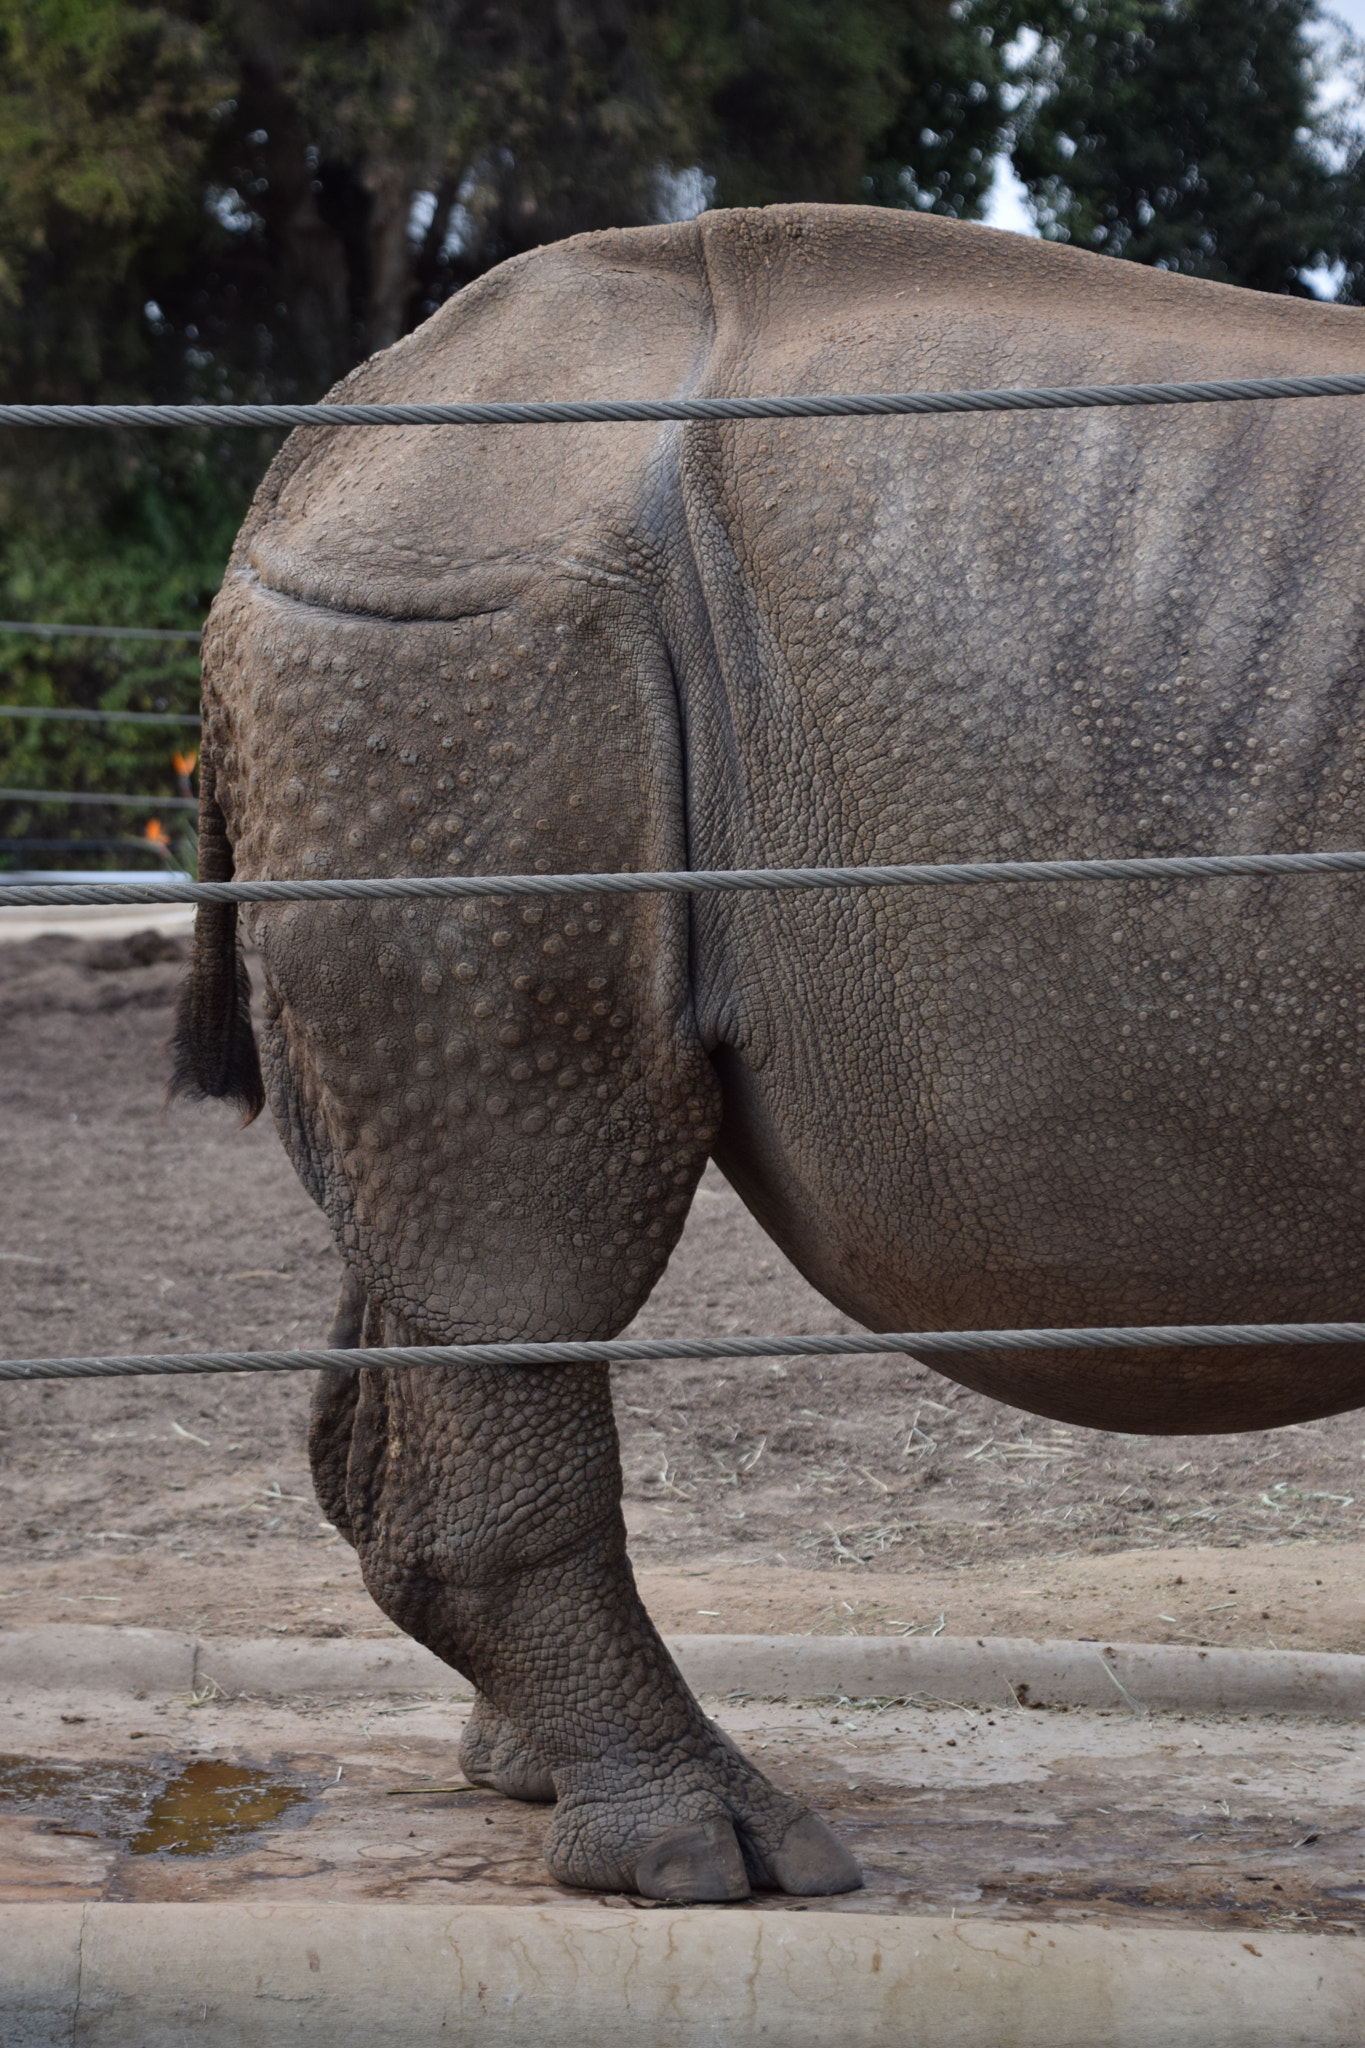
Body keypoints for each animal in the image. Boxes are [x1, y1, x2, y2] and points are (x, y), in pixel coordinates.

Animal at [174, 203, 1365, 1902]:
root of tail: (329, 437)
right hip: (481, 640)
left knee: (413, 1232)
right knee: (521, 1237)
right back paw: (709, 1858)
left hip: (438, 633)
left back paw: (525, 1777)